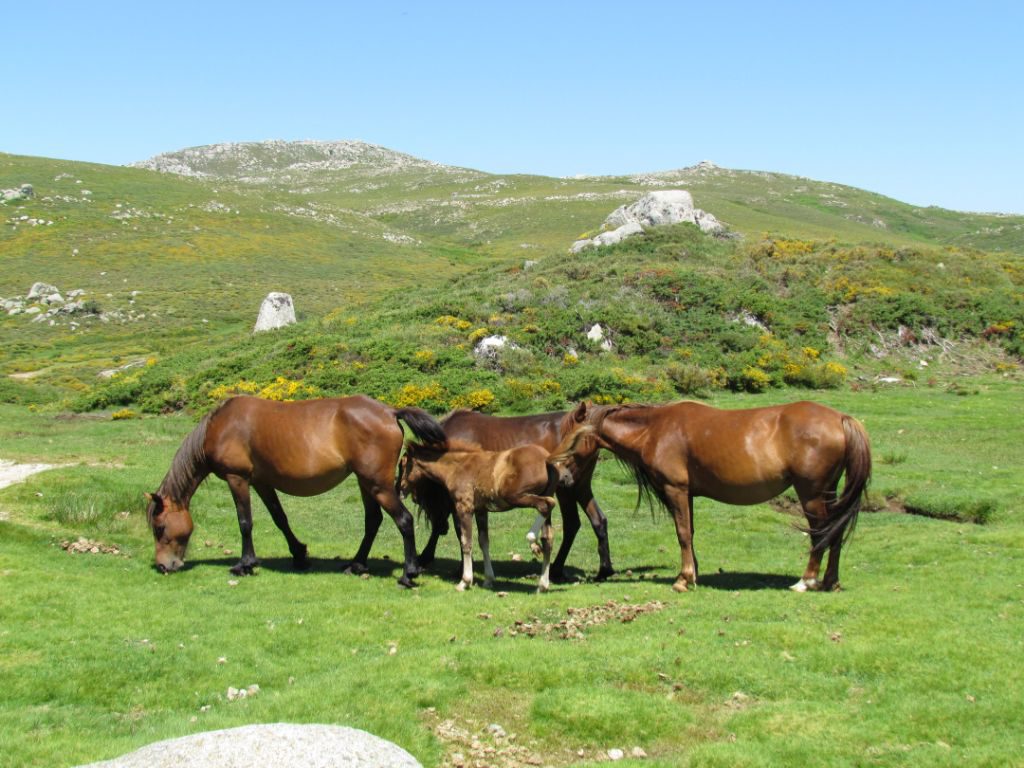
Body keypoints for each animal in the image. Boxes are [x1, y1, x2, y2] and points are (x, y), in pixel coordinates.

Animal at [143, 395, 446, 588]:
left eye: (159, 528)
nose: (164, 565)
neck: (222, 425)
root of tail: (390, 412)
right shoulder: (262, 482)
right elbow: (280, 518)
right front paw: (299, 554)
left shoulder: (237, 479)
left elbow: (245, 522)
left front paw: (245, 564)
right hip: (365, 483)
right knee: (373, 521)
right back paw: (356, 564)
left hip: (377, 485)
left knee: (404, 520)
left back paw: (408, 574)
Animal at [397, 426, 590, 592]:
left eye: (403, 465)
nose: (400, 488)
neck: (458, 466)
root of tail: (547, 458)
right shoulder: (481, 510)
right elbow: (484, 542)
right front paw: (489, 580)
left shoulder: (464, 507)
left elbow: (466, 542)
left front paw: (465, 581)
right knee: (548, 538)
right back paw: (542, 584)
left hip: (516, 496)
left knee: (546, 504)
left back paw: (532, 540)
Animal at [413, 406, 613, 581]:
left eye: (424, 498)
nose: (442, 528)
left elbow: (459, 530)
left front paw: (437, 560)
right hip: (579, 486)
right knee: (598, 519)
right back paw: (604, 569)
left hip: (567, 489)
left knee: (571, 523)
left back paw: (557, 569)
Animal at [580, 400, 871, 593]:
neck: (654, 429)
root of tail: (841, 418)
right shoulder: (688, 495)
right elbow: (690, 532)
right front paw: (693, 573)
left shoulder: (676, 489)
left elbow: (682, 534)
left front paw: (683, 579)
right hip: (829, 491)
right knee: (836, 530)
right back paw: (829, 581)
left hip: (811, 493)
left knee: (822, 532)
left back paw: (806, 581)